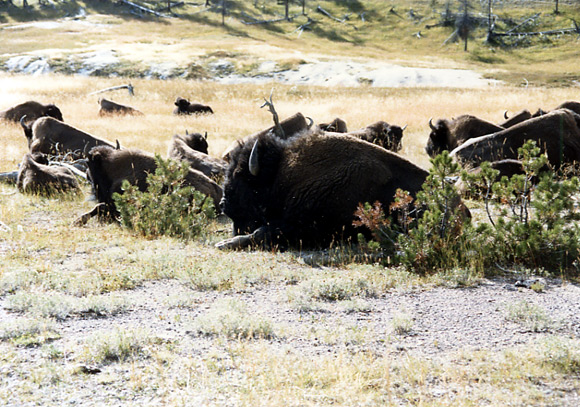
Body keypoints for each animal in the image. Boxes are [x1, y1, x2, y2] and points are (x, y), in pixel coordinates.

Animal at [215, 131, 428, 252]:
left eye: (239, 175)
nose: (224, 204)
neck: (278, 175)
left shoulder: (305, 226)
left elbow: (261, 233)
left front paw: (224, 243)